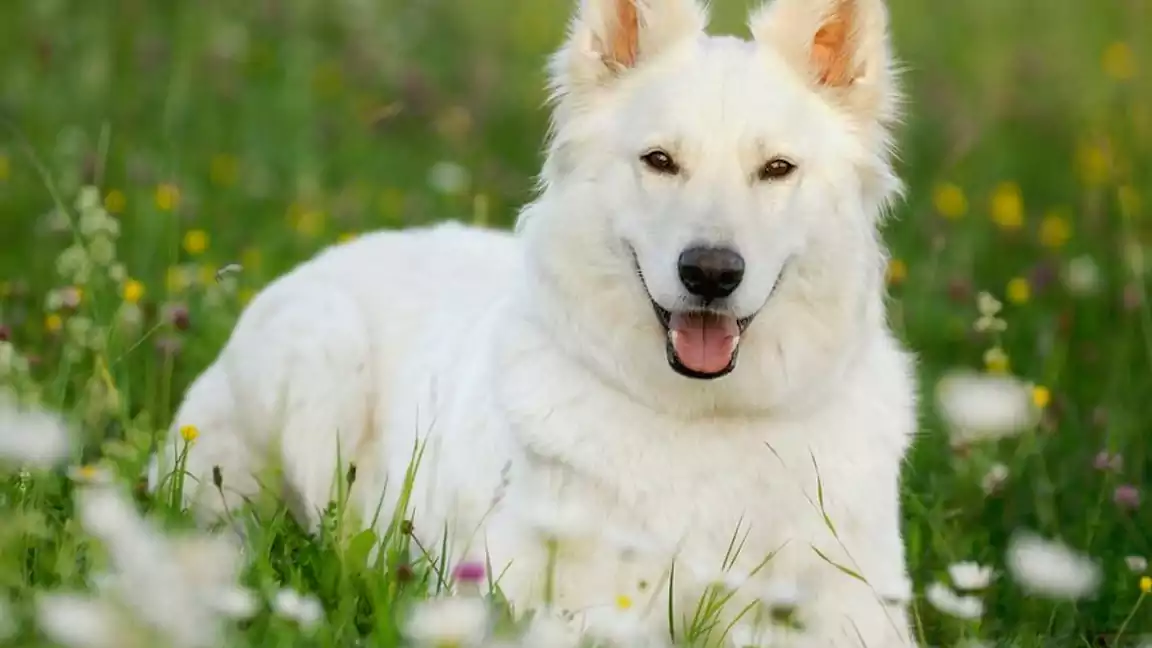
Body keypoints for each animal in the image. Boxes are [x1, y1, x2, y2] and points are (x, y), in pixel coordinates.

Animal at [157, 0, 921, 636]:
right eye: (660, 161)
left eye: (776, 169)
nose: (709, 273)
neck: (706, 419)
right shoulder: (547, 602)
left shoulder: (857, 611)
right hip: (322, 355)